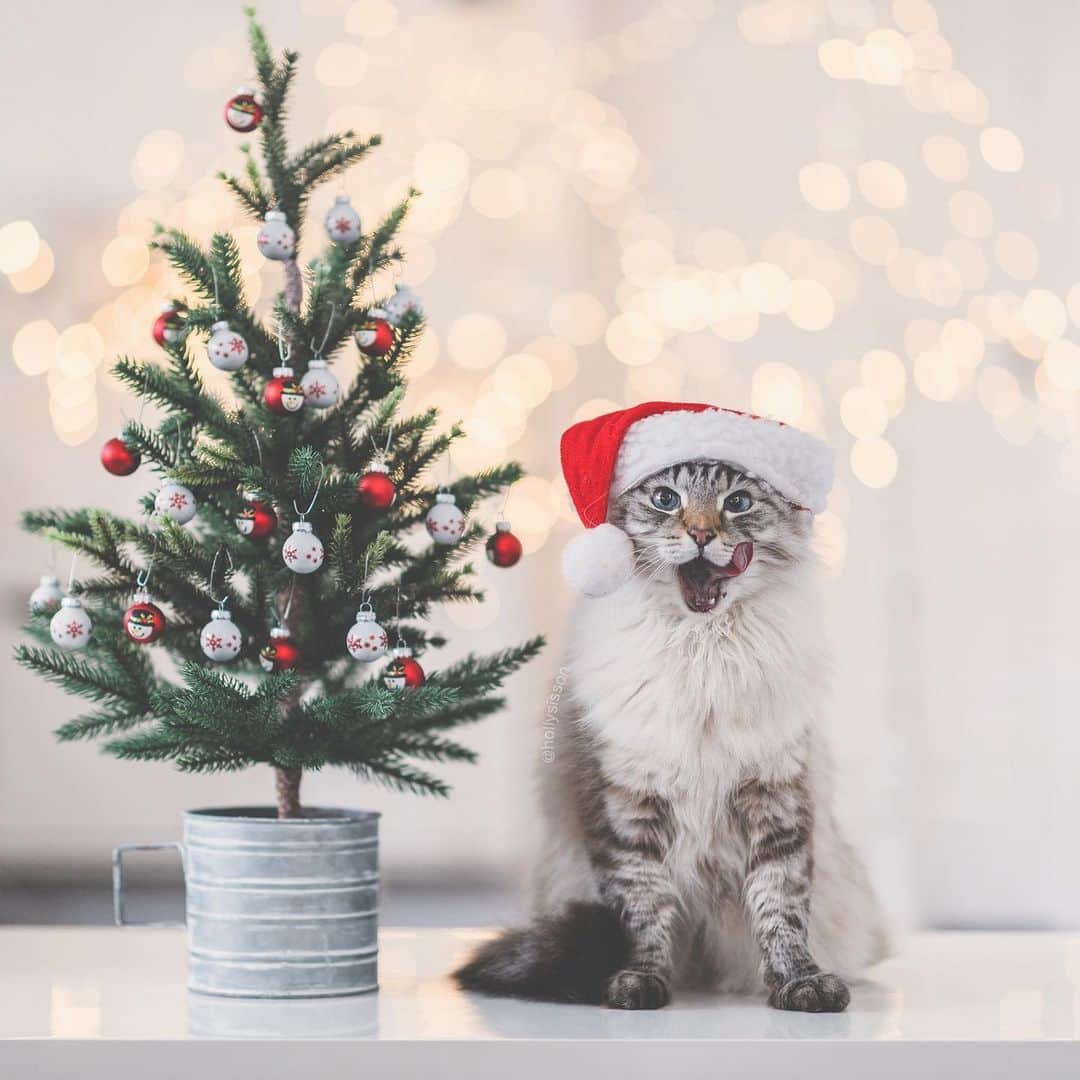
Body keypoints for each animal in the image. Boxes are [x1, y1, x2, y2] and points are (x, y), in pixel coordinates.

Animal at [455, 460, 885, 1006]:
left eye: (737, 503)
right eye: (666, 499)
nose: (701, 534)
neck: (701, 652)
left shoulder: (777, 798)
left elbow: (780, 908)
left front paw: (800, 983)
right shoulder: (628, 809)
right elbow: (643, 912)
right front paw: (639, 983)